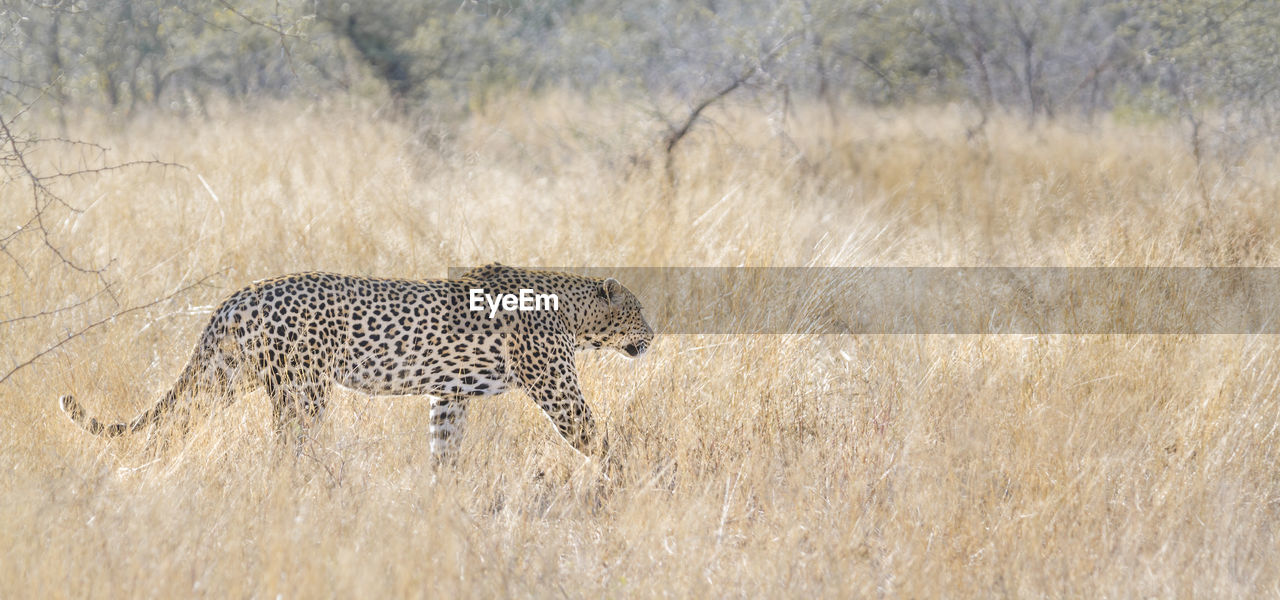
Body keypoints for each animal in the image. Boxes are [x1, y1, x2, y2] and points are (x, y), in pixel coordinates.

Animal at [56, 263, 655, 463]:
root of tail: (244, 294)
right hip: (303, 388)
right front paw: (631, 479)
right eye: (639, 310)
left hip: (227, 376)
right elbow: (598, 439)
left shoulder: (449, 394)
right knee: (291, 444)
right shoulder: (558, 391)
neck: (574, 314)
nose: (653, 335)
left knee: (173, 425)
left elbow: (444, 447)